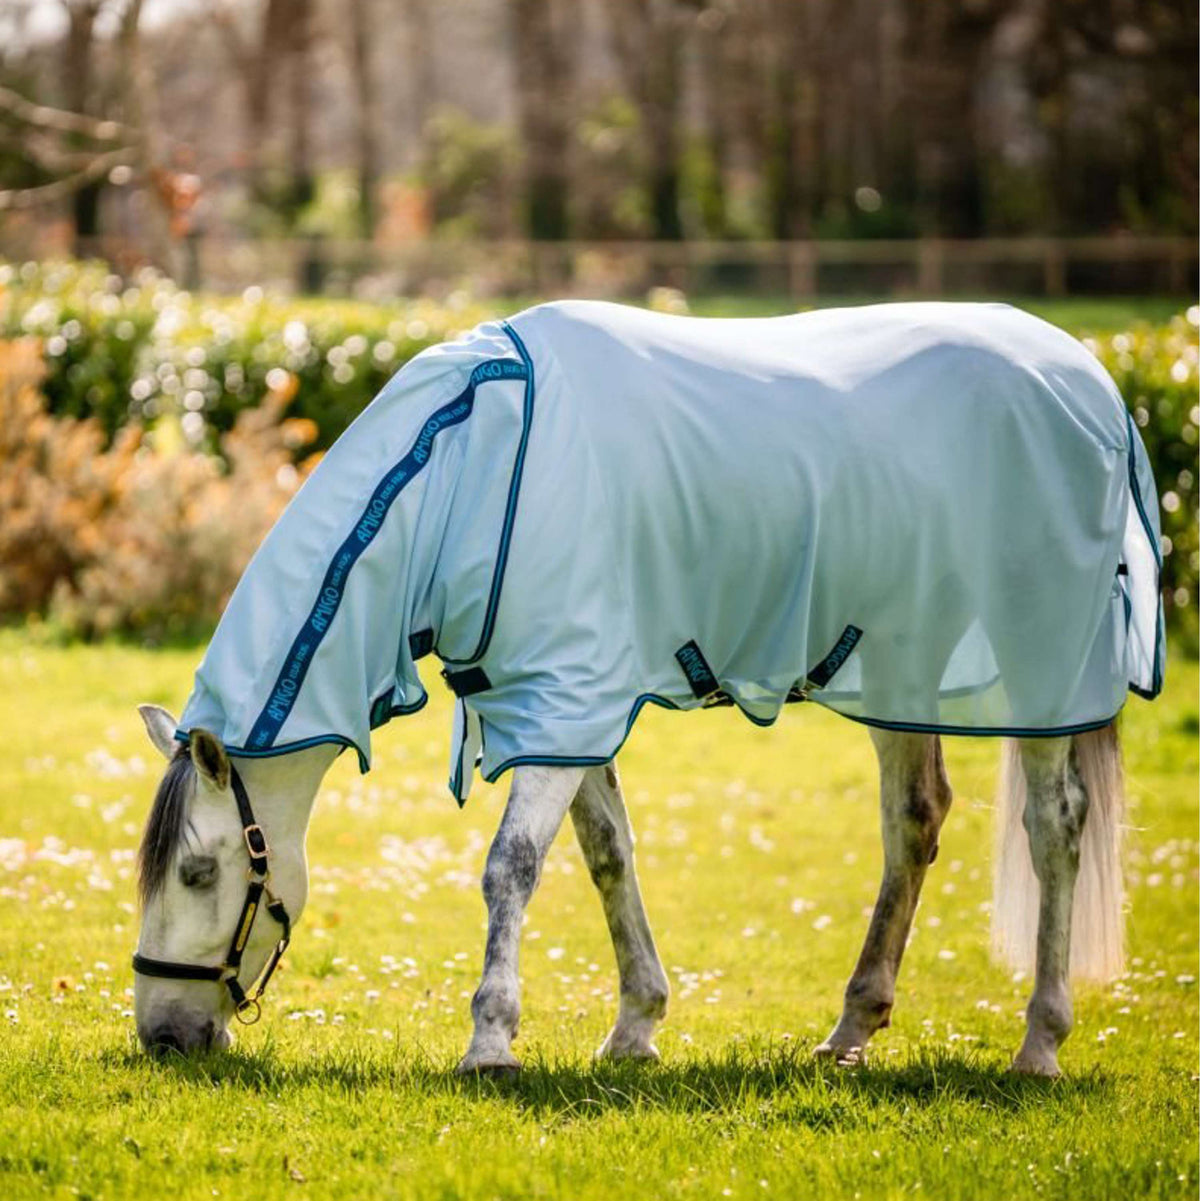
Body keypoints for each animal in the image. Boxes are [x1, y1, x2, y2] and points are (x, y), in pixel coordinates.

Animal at [131, 302, 1162, 1080]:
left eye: (198, 872)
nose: (163, 1034)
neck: (473, 466)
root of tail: (1094, 382)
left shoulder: (566, 701)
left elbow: (510, 867)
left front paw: (490, 1041)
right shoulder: (562, 706)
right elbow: (607, 855)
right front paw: (635, 1025)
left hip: (1040, 677)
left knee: (1054, 827)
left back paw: (1040, 1043)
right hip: (903, 669)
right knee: (915, 820)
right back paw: (850, 1032)